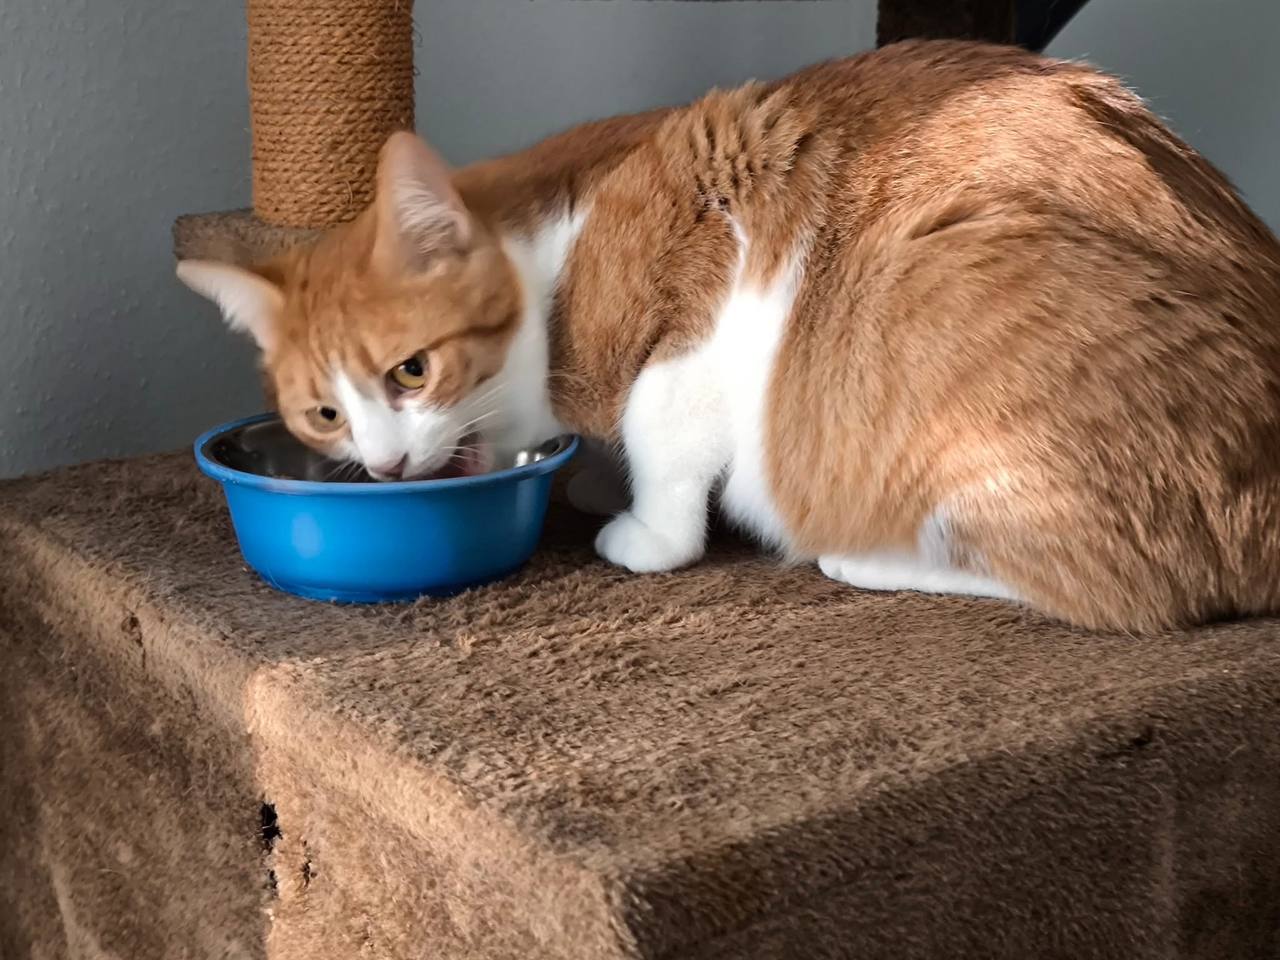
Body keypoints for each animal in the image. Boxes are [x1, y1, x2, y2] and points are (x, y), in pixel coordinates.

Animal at [177, 40, 1280, 632]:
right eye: (326, 415)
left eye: (410, 371)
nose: (386, 467)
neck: (549, 257)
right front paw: (594, 482)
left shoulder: (700, 297)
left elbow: (659, 437)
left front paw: (645, 531)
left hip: (957, 310)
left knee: (1105, 591)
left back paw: (856, 555)